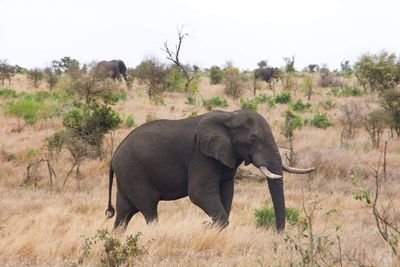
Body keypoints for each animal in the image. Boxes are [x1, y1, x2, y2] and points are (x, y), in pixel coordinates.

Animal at [106, 110, 316, 232]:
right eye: (252, 139)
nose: (277, 233)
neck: (230, 116)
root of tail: (114, 156)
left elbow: (227, 193)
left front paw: (211, 228)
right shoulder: (201, 157)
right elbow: (199, 193)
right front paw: (209, 227)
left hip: (127, 174)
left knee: (124, 212)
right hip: (133, 171)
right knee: (148, 208)